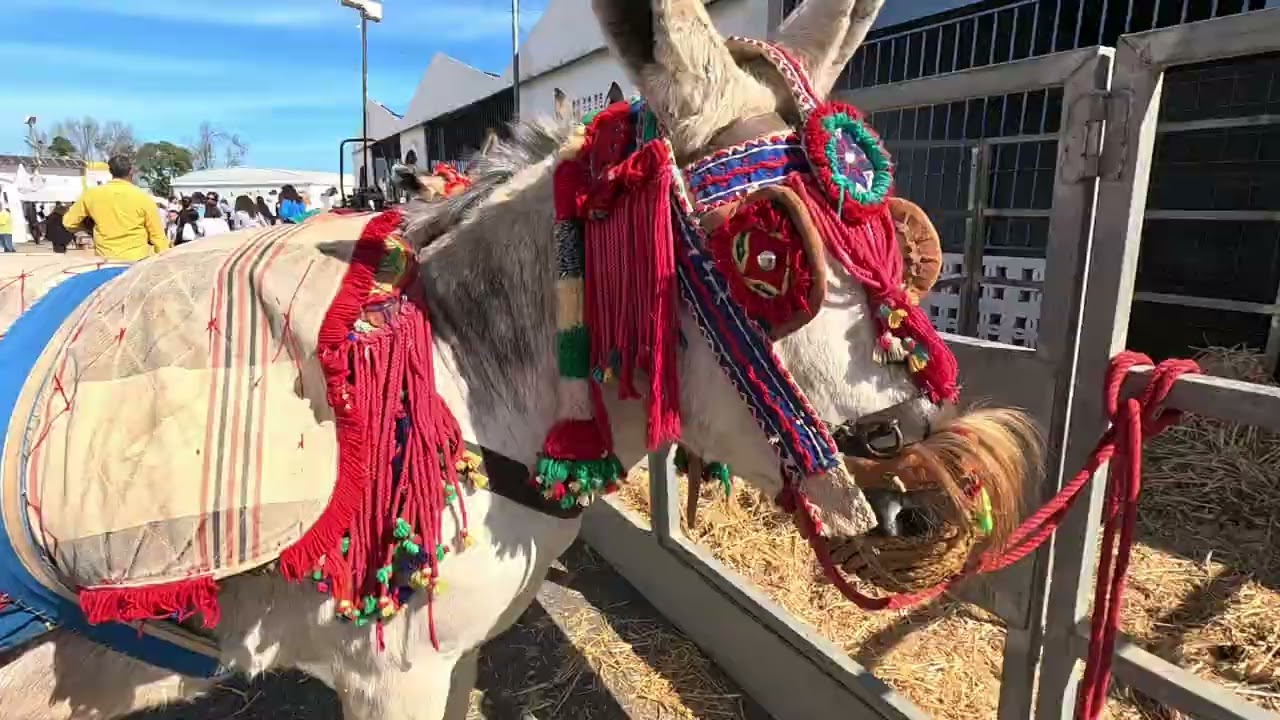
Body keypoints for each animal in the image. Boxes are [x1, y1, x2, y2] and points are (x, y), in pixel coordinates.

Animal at [0, 1, 1040, 719]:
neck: (457, 385)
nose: (919, 495)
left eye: (903, 240)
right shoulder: (389, 678)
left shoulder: (451, 659)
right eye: (768, 255)